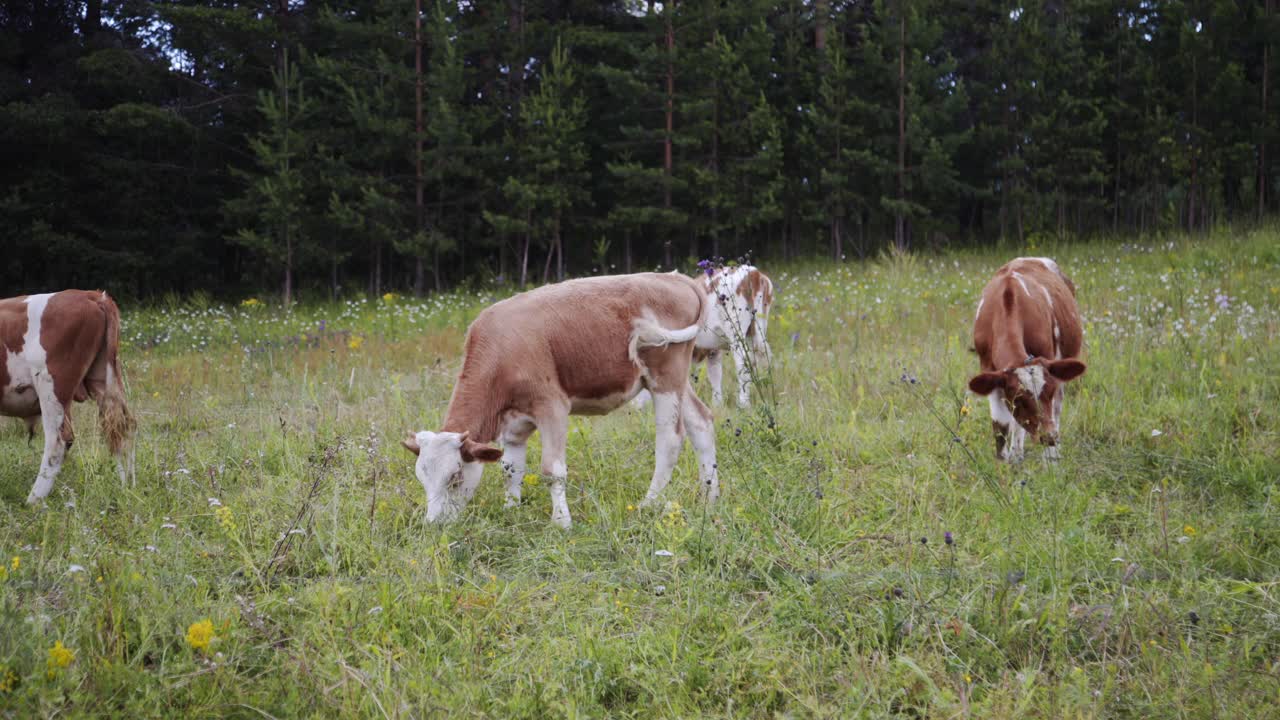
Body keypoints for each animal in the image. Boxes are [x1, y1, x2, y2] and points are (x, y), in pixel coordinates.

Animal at [1, 288, 135, 502]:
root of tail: (91, 295)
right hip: (105, 379)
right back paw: (126, 487)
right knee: (120, 428)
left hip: (50, 385)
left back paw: (33, 500)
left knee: (59, 441)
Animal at [401, 271, 721, 525]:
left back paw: (649, 502)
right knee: (701, 423)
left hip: (665, 376)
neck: (501, 349)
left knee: (670, 439)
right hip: (677, 380)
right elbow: (510, 469)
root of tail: (673, 277)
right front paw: (511, 510)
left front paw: (561, 522)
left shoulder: (552, 407)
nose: (433, 524)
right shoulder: (514, 424)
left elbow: (552, 470)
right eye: (422, 479)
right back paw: (710, 495)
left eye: (454, 478)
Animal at [967, 257, 1090, 458]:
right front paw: (1006, 461)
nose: (1048, 436)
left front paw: (1051, 459)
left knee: (1056, 410)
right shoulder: (990, 373)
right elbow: (1001, 429)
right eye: (1019, 399)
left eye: (1049, 392)